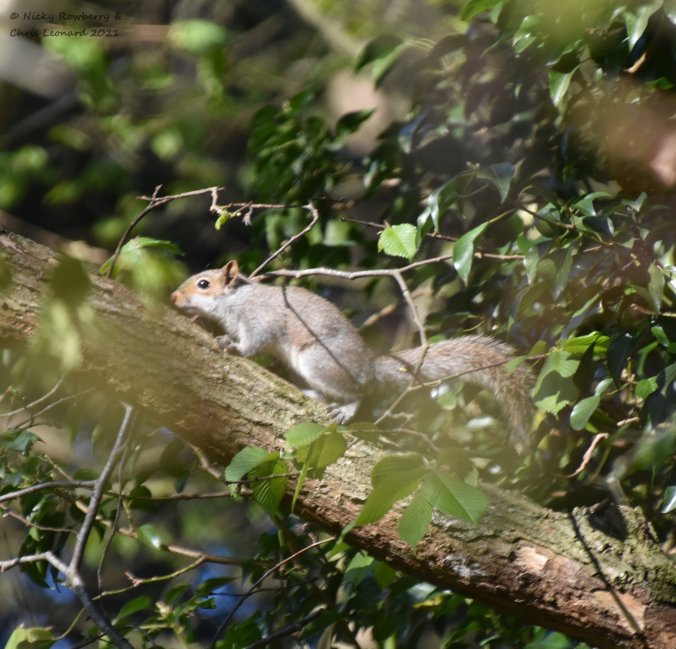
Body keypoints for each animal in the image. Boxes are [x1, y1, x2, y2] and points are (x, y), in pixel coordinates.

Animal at [171, 260, 534, 454]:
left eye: (203, 284)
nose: (174, 297)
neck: (236, 301)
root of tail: (369, 366)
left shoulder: (261, 319)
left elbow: (253, 342)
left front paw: (234, 347)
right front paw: (212, 329)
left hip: (319, 361)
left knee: (359, 393)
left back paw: (346, 407)